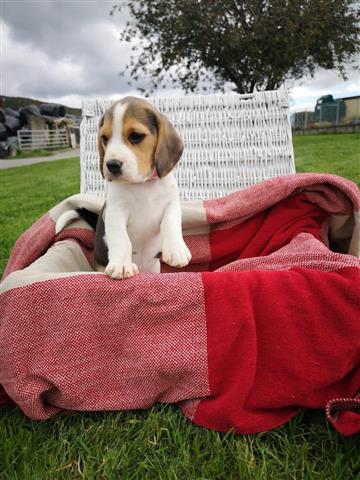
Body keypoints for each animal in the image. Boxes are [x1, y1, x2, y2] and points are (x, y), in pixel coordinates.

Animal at [86, 97, 191, 278]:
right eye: (105, 139)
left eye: (136, 136)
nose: (112, 165)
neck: (143, 184)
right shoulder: (115, 211)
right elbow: (121, 238)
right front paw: (121, 265)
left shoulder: (172, 205)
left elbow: (171, 224)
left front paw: (177, 250)